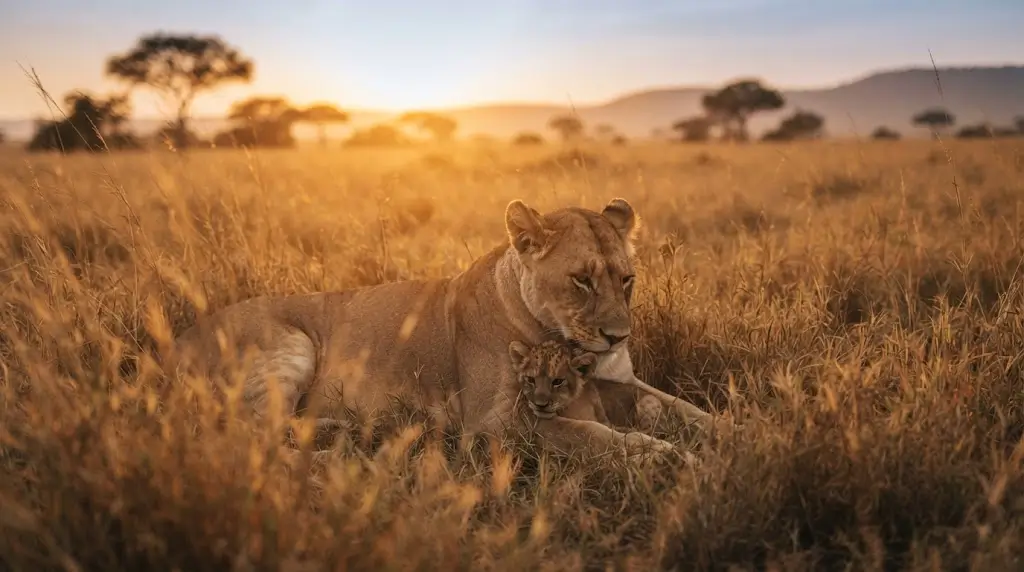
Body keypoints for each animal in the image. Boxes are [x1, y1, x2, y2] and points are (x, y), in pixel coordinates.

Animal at [169, 198, 716, 459]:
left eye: (626, 279)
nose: (618, 337)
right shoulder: (495, 423)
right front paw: (666, 457)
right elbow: (590, 434)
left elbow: (687, 409)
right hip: (291, 345)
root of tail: (171, 345)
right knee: (243, 437)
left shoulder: (626, 382)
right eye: (581, 280)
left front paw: (734, 438)